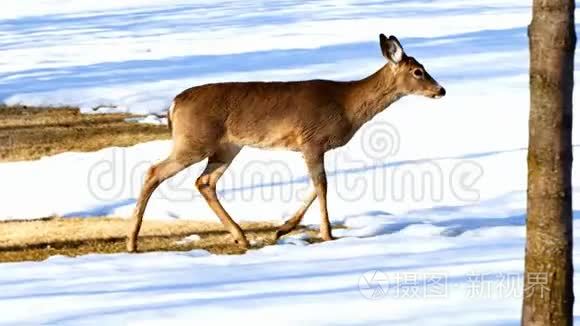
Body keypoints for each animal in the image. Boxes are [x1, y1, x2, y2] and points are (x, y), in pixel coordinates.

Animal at [127, 34, 444, 251]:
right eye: (418, 71)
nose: (440, 90)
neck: (347, 106)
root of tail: (173, 104)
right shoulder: (312, 140)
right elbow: (322, 185)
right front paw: (328, 234)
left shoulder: (310, 146)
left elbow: (316, 185)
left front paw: (282, 229)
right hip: (194, 140)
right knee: (154, 172)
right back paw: (132, 241)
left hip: (227, 147)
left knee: (204, 182)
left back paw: (241, 237)